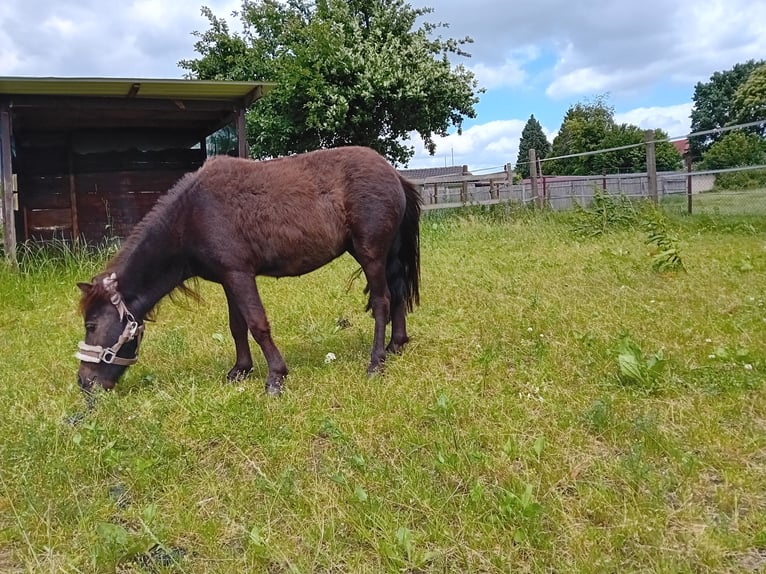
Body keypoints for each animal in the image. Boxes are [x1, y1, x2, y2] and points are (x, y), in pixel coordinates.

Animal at [76, 146, 421, 396]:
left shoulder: (240, 274)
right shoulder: (229, 279)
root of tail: (394, 174)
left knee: (382, 302)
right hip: (386, 254)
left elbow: (257, 324)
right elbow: (237, 326)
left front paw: (276, 378)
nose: (84, 383)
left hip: (370, 254)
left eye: (91, 325)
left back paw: (376, 362)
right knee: (397, 293)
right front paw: (240, 369)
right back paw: (396, 345)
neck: (191, 215)